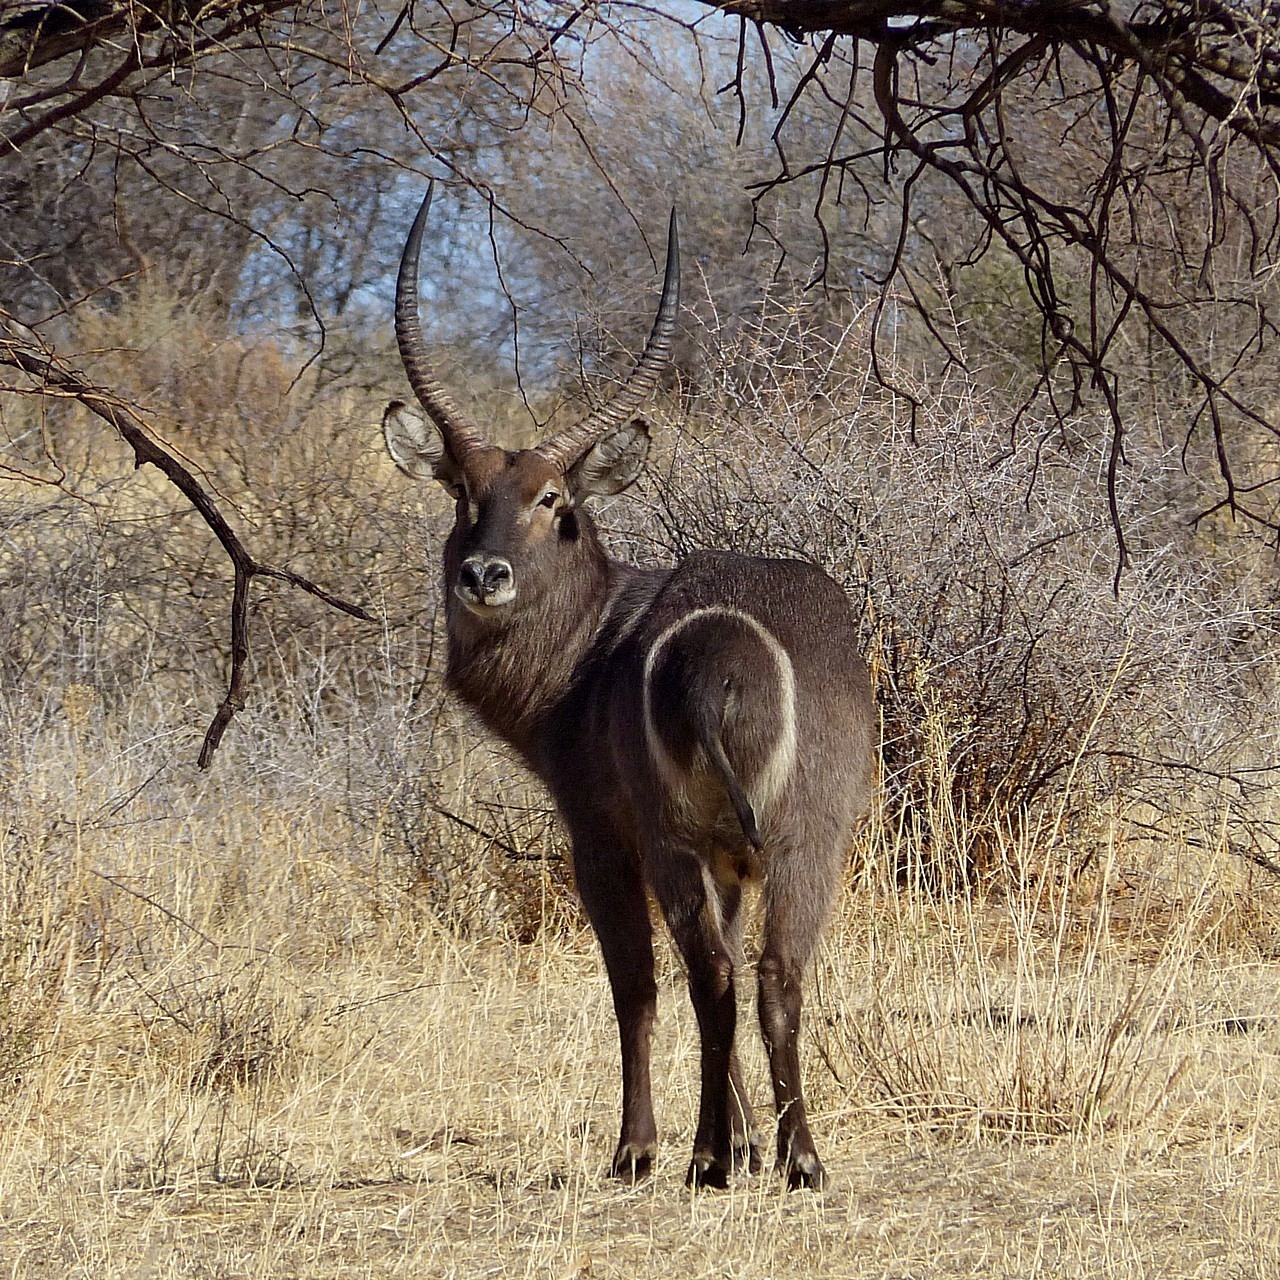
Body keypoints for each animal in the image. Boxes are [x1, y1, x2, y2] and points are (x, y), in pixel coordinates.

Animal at [384, 186, 875, 1187]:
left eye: (553, 501)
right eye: (463, 492)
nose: (484, 574)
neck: (593, 641)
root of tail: (731, 649)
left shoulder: (598, 832)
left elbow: (634, 986)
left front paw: (643, 1146)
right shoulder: (733, 860)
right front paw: (750, 1140)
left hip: (676, 837)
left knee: (707, 978)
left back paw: (694, 1160)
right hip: (808, 836)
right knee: (776, 975)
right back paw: (799, 1158)